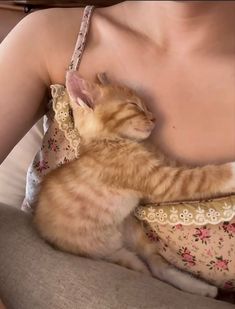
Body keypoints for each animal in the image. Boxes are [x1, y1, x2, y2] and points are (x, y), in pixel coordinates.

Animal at [34, 71, 234, 298]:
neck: (111, 141)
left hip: (135, 233)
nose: (155, 118)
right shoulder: (164, 181)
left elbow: (197, 169)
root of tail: (118, 241)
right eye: (134, 105)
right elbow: (205, 176)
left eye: (146, 105)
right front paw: (232, 170)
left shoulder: (168, 164)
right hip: (120, 257)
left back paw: (201, 288)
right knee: (149, 272)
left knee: (159, 267)